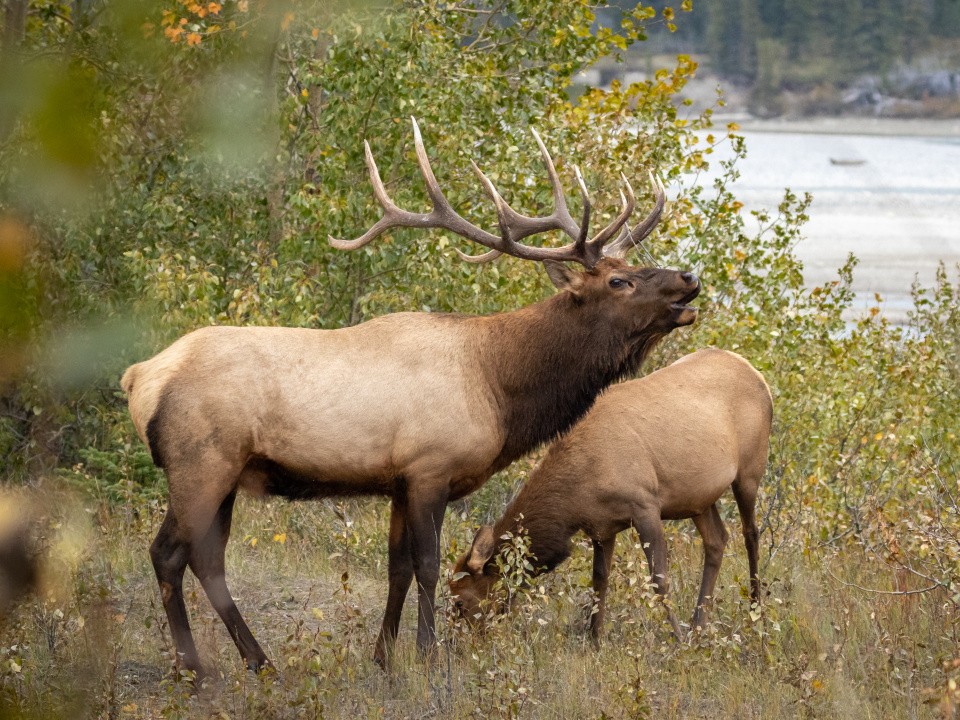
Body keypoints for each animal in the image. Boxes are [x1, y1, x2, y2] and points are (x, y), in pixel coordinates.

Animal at [124, 118, 700, 676]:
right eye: (619, 281)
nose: (689, 278)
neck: (498, 388)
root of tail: (139, 377)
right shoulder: (430, 468)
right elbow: (428, 565)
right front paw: (428, 655)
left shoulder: (398, 480)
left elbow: (396, 568)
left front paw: (383, 657)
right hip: (201, 462)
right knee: (167, 553)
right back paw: (195, 668)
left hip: (227, 472)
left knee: (207, 560)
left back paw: (257, 660)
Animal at [450, 348, 772, 640]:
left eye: (461, 602)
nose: (456, 644)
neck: (573, 498)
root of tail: (757, 375)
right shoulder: (602, 526)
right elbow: (599, 580)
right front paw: (594, 639)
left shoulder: (645, 506)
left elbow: (659, 579)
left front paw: (677, 639)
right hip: (698, 499)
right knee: (717, 540)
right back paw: (699, 623)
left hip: (749, 473)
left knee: (751, 534)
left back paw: (755, 611)